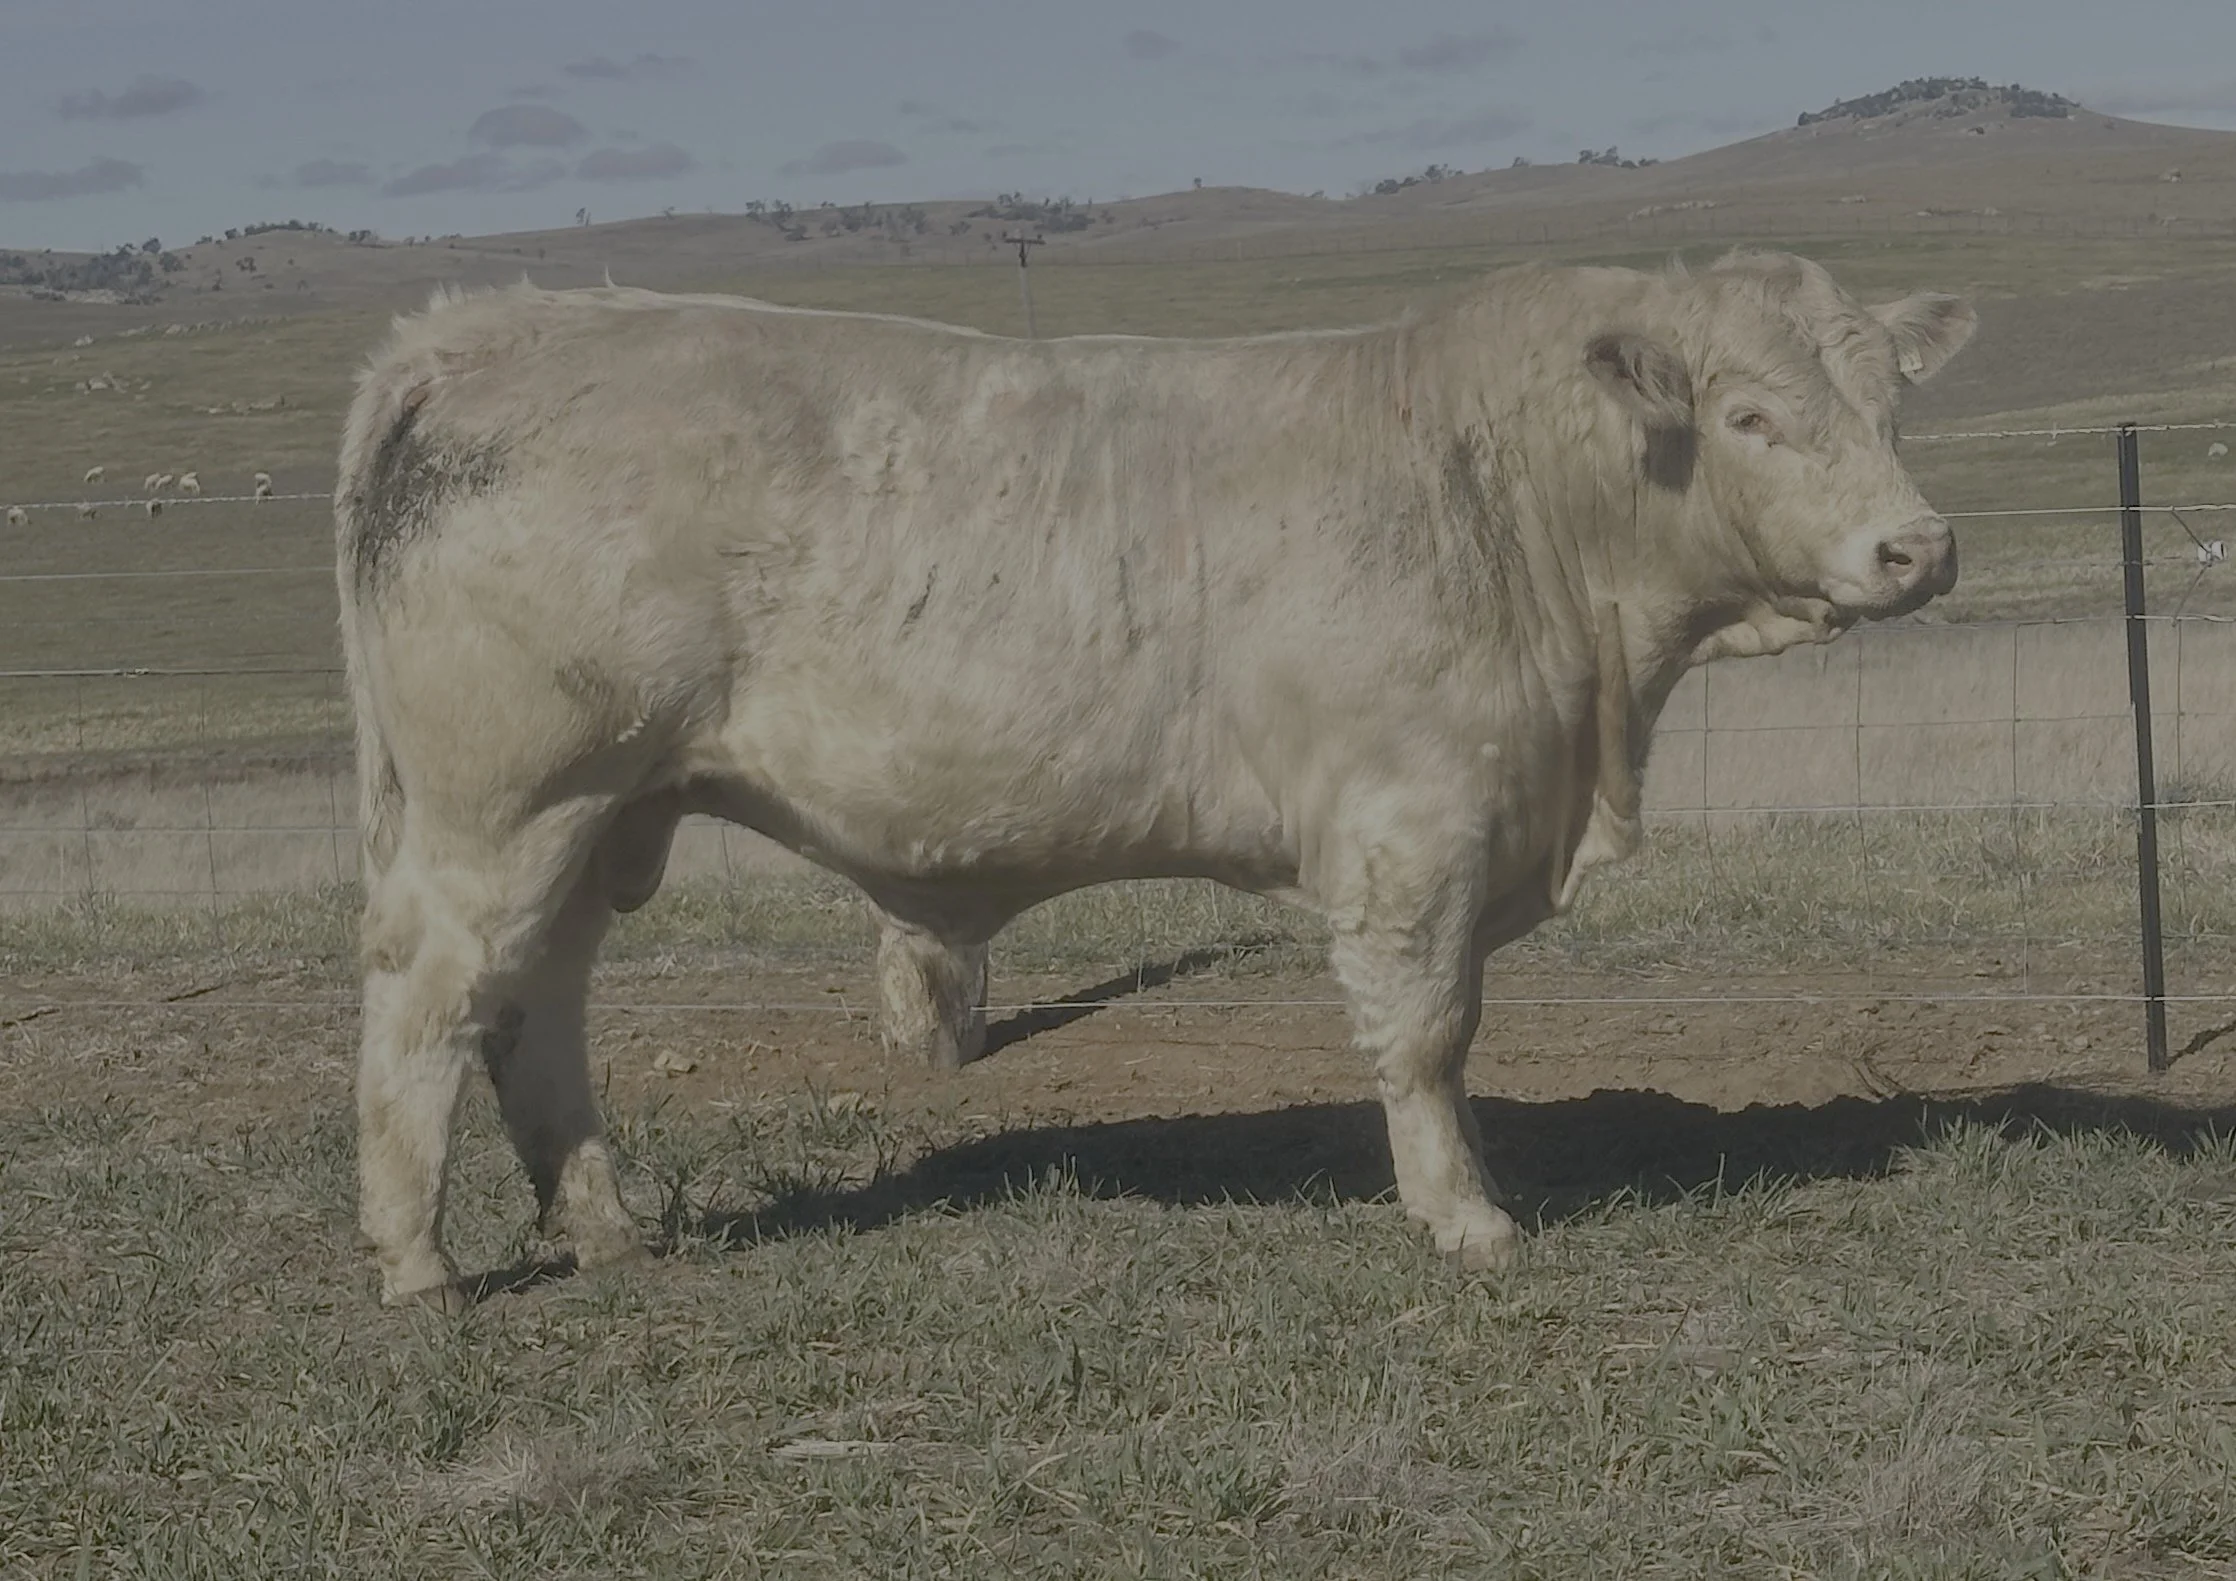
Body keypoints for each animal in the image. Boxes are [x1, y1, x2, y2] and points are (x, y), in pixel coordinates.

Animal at [336, 251, 1972, 1309]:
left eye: (1891, 409)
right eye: (1752, 416)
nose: (1918, 547)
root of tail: (474, 327)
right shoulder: (1414, 826)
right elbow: (1428, 1036)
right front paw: (1465, 1217)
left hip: (598, 813)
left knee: (536, 1012)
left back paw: (607, 1229)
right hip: (505, 806)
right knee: (428, 1000)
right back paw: (417, 1263)